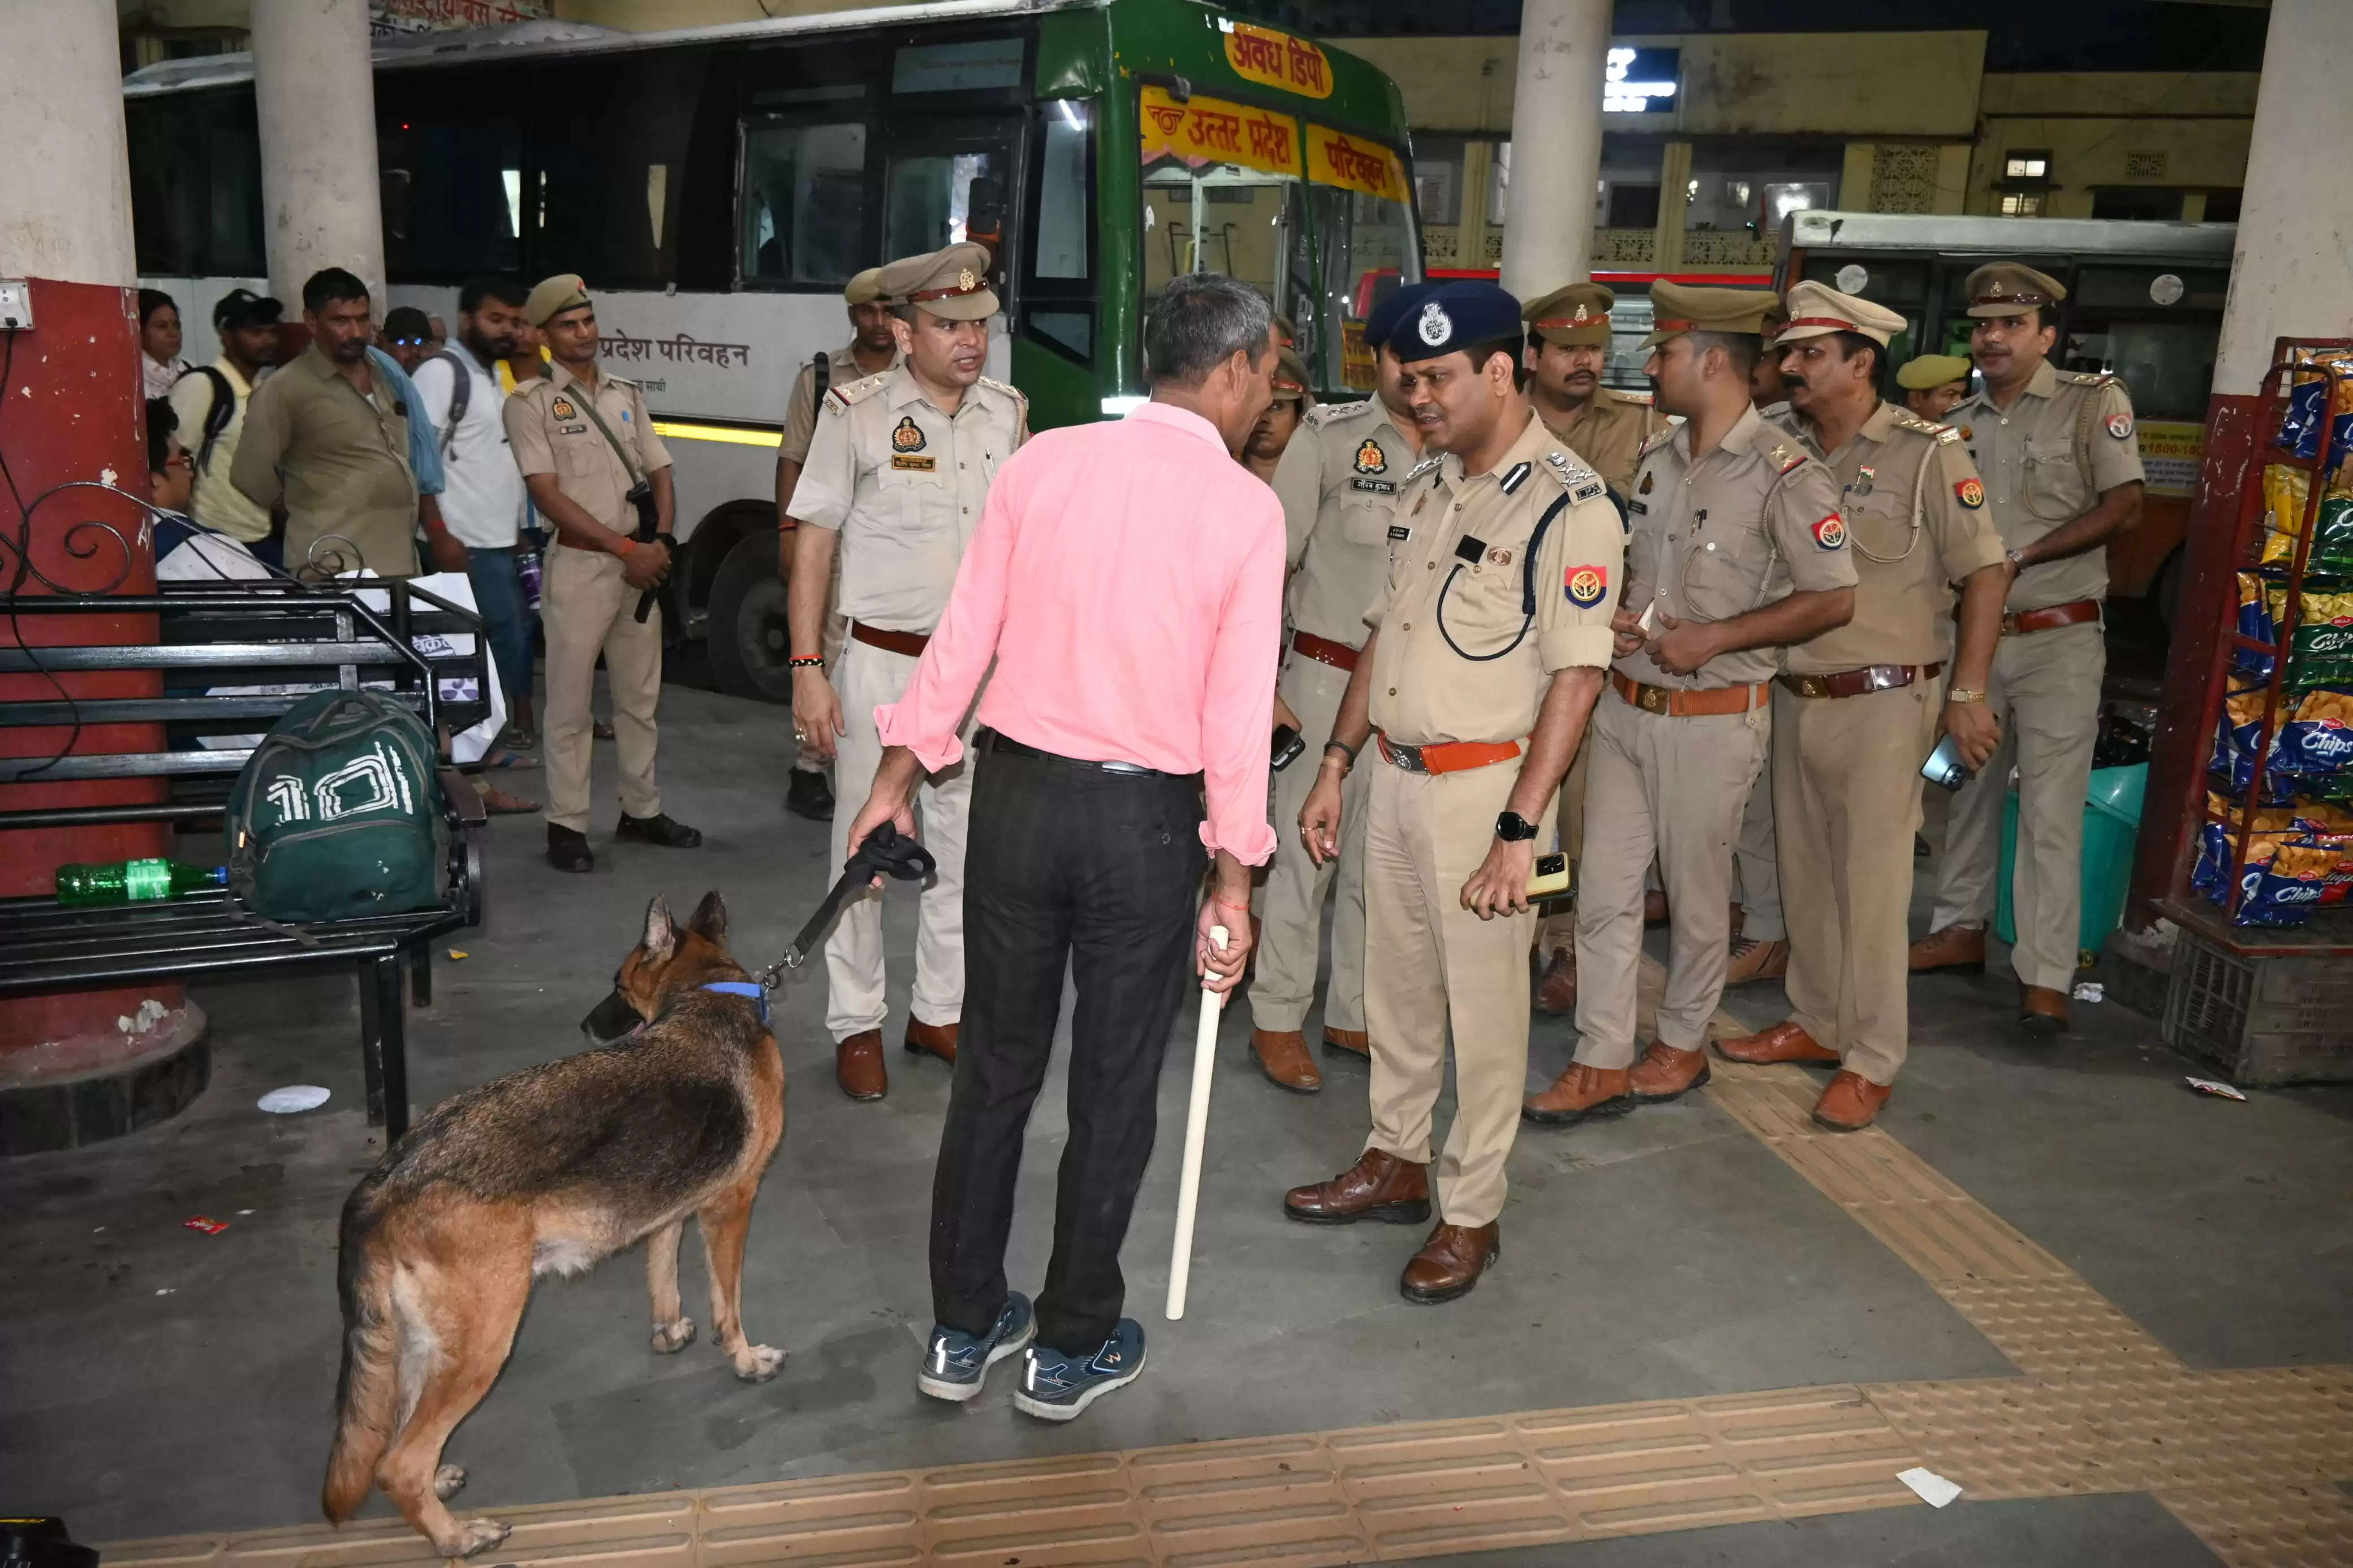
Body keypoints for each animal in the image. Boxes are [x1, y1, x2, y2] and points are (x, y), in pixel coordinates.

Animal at [320, 893, 790, 1561]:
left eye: (617, 984)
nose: (587, 1026)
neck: (709, 993)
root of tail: (385, 1179)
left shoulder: (671, 1213)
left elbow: (663, 1277)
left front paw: (669, 1332)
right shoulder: (731, 1208)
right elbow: (731, 1306)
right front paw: (746, 1360)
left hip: (421, 1347)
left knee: (396, 1440)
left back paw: (440, 1489)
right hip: (486, 1344)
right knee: (396, 1465)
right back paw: (457, 1536)